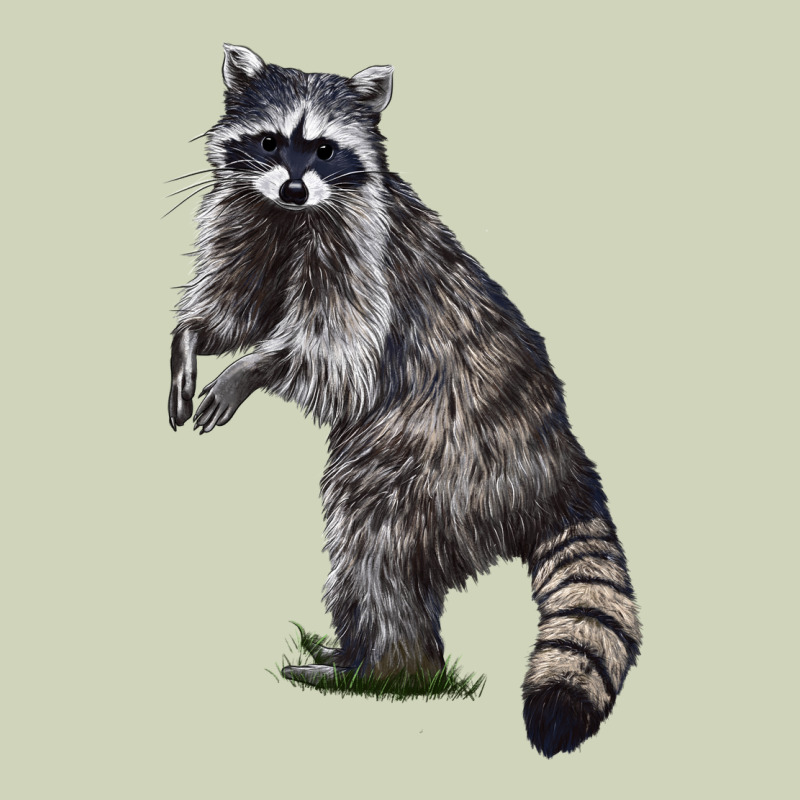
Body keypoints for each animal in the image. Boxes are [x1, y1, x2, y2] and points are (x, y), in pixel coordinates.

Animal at [167, 44, 642, 757]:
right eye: (270, 141)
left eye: (325, 149)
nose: (294, 188)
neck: (292, 217)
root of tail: (559, 468)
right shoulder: (248, 218)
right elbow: (236, 304)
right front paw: (193, 337)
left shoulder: (363, 255)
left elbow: (339, 351)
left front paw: (251, 368)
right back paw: (358, 656)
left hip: (441, 462)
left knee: (373, 540)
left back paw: (386, 668)